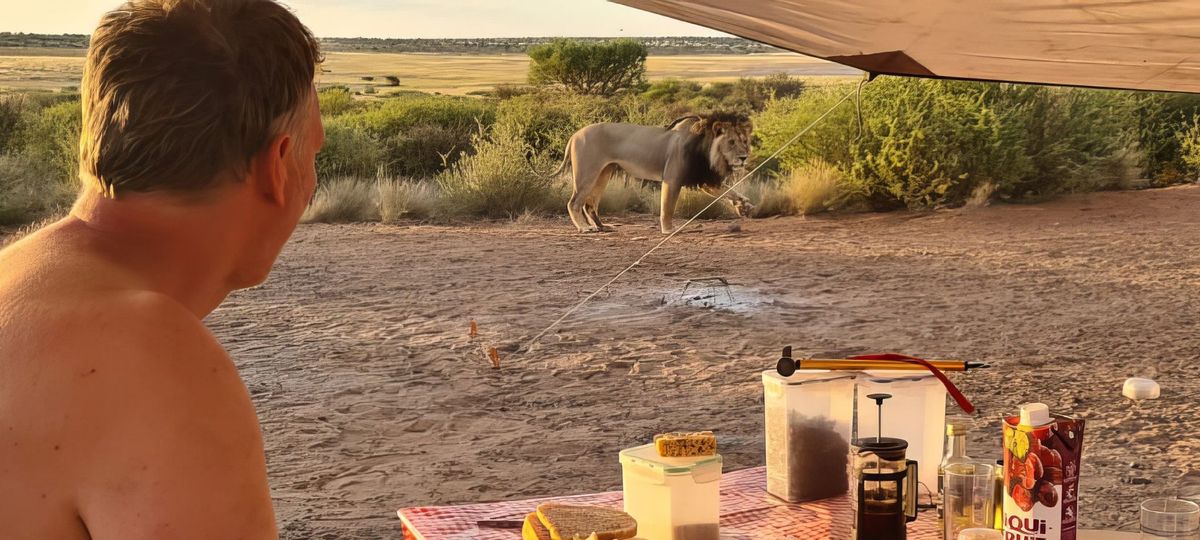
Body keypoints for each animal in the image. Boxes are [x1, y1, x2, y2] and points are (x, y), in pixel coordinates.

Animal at [542, 112, 748, 232]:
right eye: (731, 142)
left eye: (744, 141)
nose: (744, 157)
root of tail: (575, 134)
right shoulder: (672, 179)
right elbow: (667, 207)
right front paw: (669, 230)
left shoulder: (702, 180)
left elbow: (727, 190)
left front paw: (743, 204)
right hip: (587, 173)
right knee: (574, 202)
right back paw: (585, 228)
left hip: (603, 173)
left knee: (590, 204)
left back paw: (603, 226)